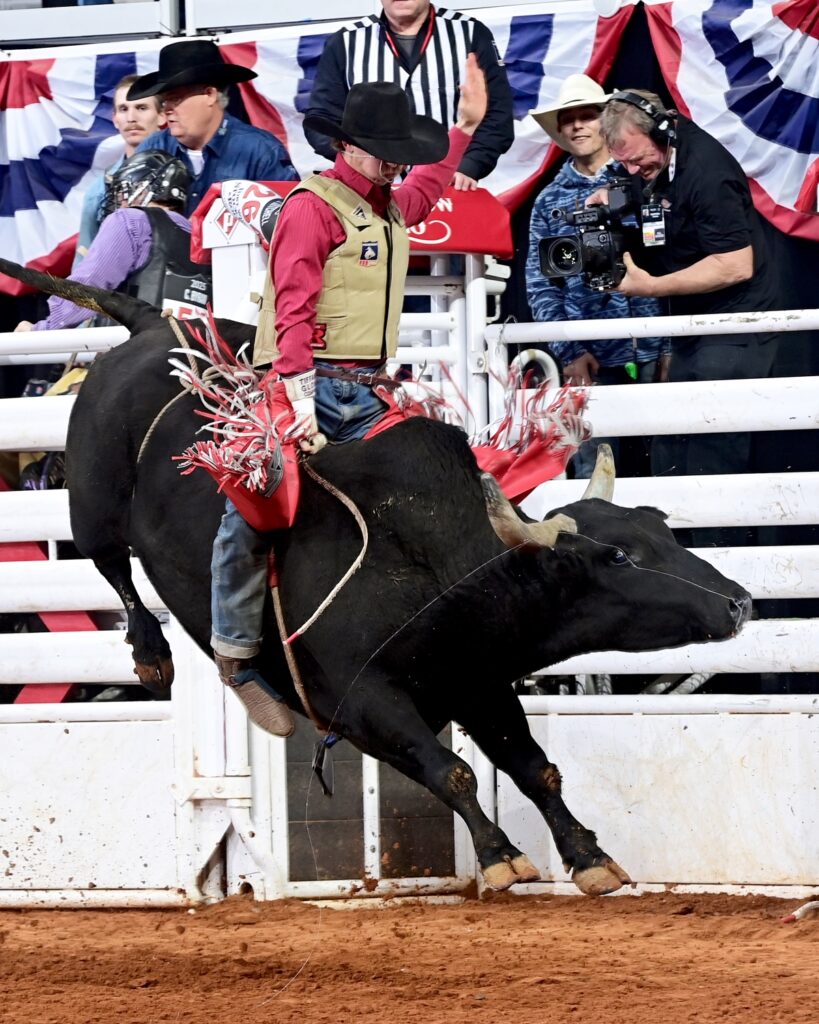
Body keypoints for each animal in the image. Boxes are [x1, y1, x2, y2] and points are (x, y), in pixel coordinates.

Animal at [3, 262, 753, 897]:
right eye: (619, 557)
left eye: (662, 528)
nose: (739, 602)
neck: (438, 575)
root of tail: (154, 326)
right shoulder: (362, 705)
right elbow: (451, 770)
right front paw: (500, 857)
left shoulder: (476, 681)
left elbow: (533, 766)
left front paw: (590, 857)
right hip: (91, 500)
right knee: (111, 566)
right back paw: (153, 658)